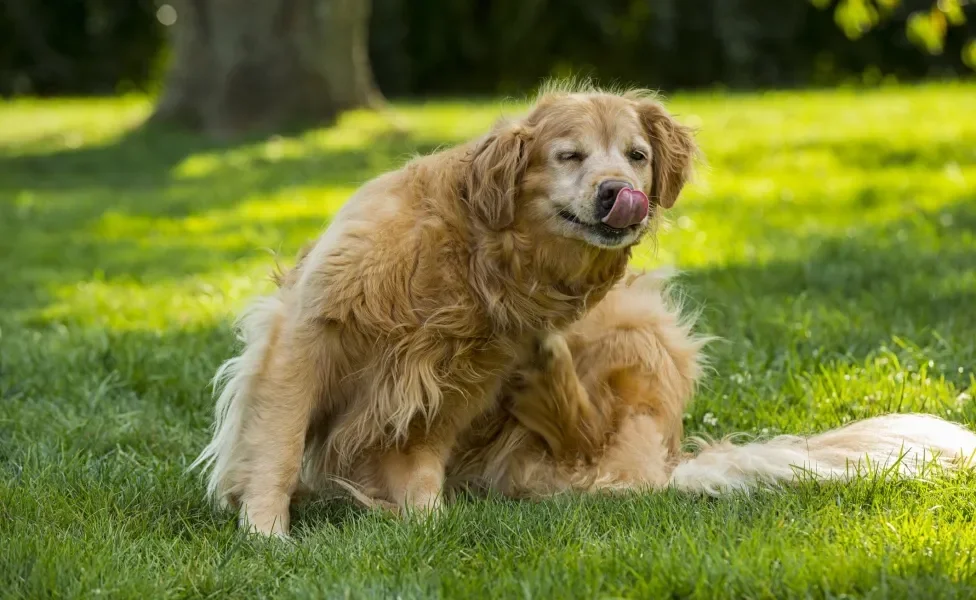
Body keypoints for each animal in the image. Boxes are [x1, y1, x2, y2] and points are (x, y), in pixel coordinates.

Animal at [191, 81, 696, 536]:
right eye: (569, 155)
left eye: (637, 156)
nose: (618, 192)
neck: (477, 252)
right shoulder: (308, 330)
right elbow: (280, 441)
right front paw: (265, 530)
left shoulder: (451, 380)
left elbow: (419, 461)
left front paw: (428, 521)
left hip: (638, 319)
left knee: (593, 441)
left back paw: (546, 368)